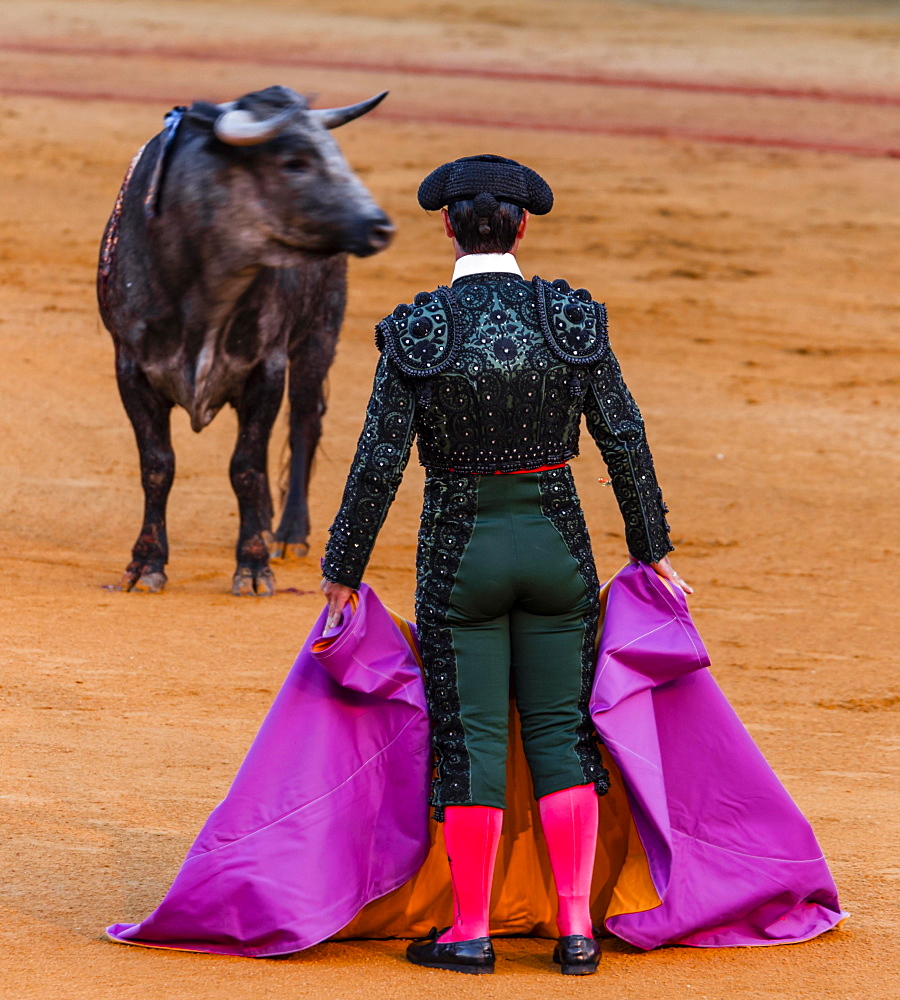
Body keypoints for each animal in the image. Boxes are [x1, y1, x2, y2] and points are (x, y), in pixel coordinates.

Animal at [99, 84, 394, 592]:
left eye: (335, 151)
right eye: (295, 161)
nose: (380, 225)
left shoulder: (265, 366)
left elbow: (246, 465)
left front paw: (253, 566)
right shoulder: (131, 368)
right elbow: (157, 465)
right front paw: (145, 564)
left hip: (319, 335)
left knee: (303, 421)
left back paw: (289, 533)